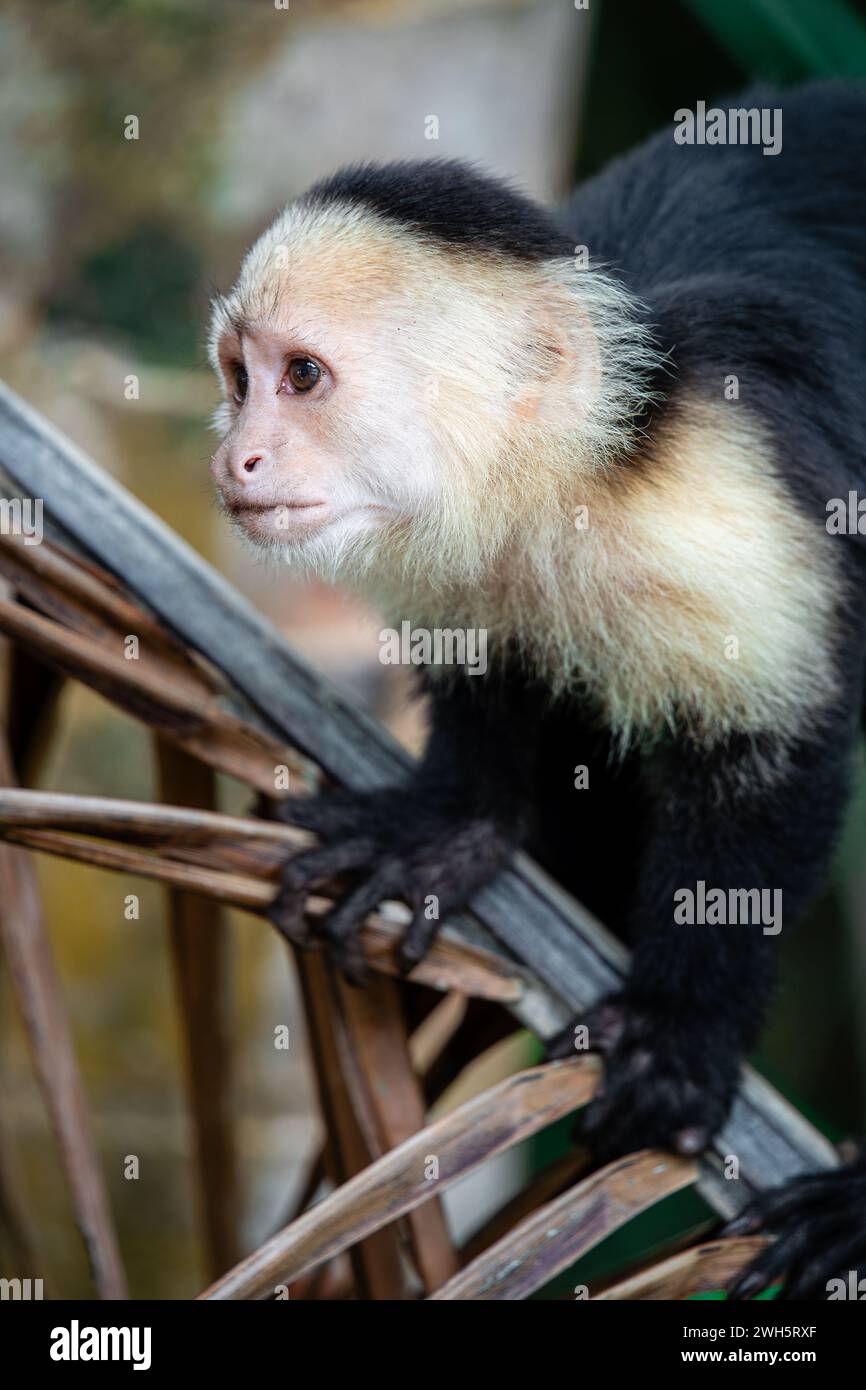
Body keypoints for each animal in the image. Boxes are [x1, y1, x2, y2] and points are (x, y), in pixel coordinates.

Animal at [209, 82, 866, 1299]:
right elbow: (490, 678)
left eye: (303, 377)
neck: (564, 478)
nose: (238, 459)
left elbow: (771, 753)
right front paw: (444, 835)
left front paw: (677, 1032)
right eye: (239, 378)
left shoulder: (717, 502)